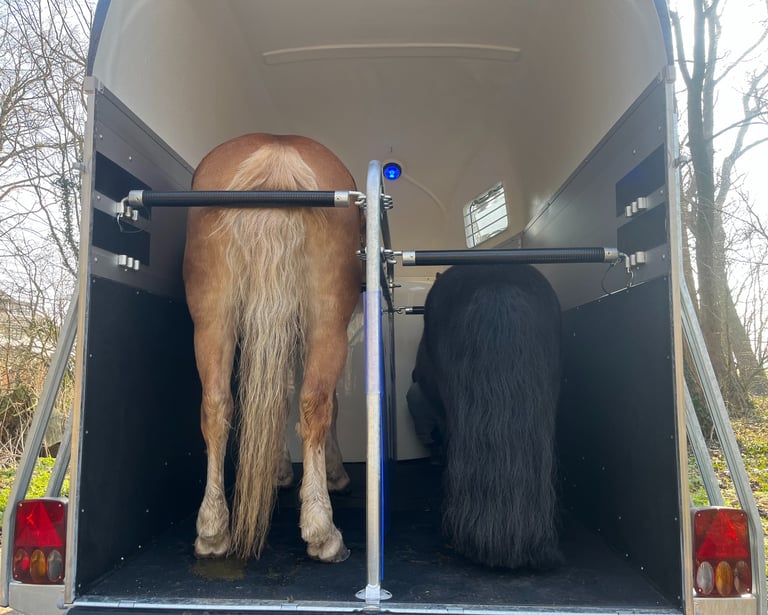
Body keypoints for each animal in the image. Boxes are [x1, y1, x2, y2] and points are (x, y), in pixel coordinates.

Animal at [183, 133, 362, 562]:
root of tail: (276, 149)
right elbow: (320, 402)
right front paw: (333, 475)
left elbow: (274, 395)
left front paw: (277, 469)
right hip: (326, 320)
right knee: (315, 403)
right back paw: (322, 530)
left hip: (213, 317)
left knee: (216, 405)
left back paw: (212, 529)